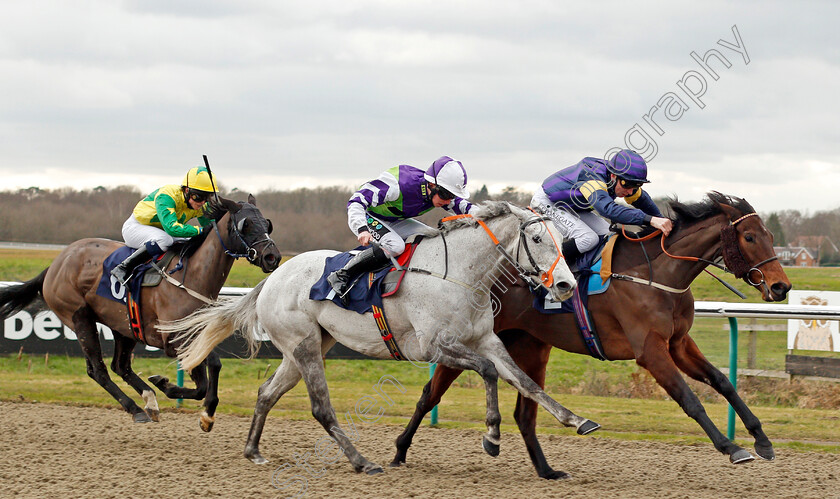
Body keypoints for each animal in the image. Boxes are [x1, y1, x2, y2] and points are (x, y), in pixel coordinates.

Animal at [0, 195, 282, 430]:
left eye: (267, 224)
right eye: (246, 224)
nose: (272, 257)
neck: (190, 277)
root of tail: (56, 264)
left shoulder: (197, 334)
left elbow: (212, 368)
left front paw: (205, 413)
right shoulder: (174, 339)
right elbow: (205, 375)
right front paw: (167, 385)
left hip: (124, 325)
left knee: (120, 366)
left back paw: (149, 401)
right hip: (79, 318)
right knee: (98, 370)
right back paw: (135, 408)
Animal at [164, 201, 592, 474]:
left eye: (562, 241)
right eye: (537, 240)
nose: (567, 285)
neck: (458, 274)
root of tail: (271, 278)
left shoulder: (486, 340)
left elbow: (525, 382)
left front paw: (576, 419)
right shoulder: (436, 347)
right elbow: (487, 371)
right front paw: (492, 435)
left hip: (304, 348)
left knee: (267, 393)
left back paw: (253, 450)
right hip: (305, 347)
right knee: (321, 408)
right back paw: (361, 462)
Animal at [390, 191, 792, 476]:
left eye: (771, 234)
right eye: (750, 237)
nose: (781, 287)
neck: (657, 274)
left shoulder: (678, 344)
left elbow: (723, 382)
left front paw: (762, 440)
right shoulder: (650, 351)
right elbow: (689, 399)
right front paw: (732, 448)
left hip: (531, 346)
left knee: (525, 411)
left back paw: (547, 471)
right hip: (464, 339)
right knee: (429, 395)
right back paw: (398, 452)